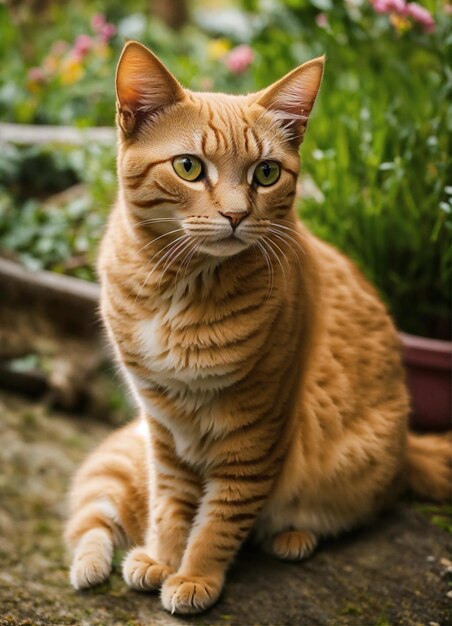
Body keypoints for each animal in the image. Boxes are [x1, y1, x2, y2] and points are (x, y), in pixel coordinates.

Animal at [64, 41, 452, 612]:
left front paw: (195, 575)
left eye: (266, 173)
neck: (179, 291)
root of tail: (408, 442)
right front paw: (162, 557)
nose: (235, 215)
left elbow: (219, 518)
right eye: (188, 167)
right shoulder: (161, 427)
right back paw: (92, 566)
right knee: (92, 518)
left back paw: (293, 536)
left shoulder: (255, 432)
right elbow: (170, 504)